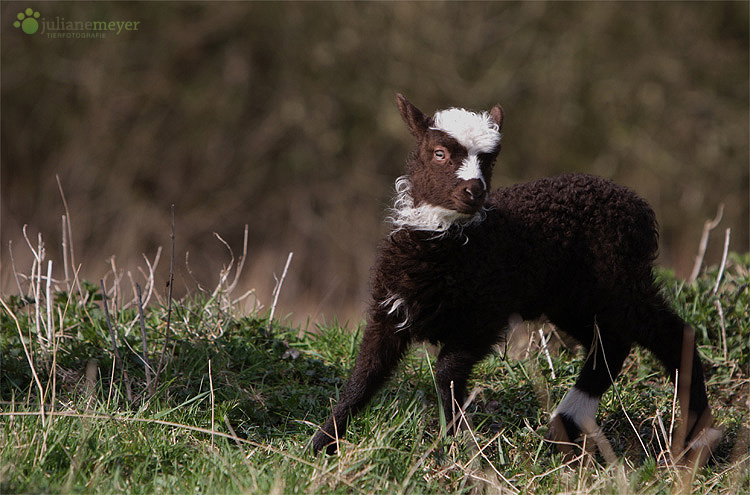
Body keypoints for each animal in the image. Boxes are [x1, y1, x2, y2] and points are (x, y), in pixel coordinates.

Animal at [312, 95, 724, 466]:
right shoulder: (391, 312)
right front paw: (320, 447)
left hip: (620, 283)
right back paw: (566, 425)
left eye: (490, 160)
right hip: (574, 297)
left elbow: (445, 375)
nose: (474, 191)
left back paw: (695, 439)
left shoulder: (482, 316)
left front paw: (450, 449)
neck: (450, 243)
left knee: (672, 333)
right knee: (611, 344)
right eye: (439, 153)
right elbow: (363, 377)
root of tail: (639, 208)